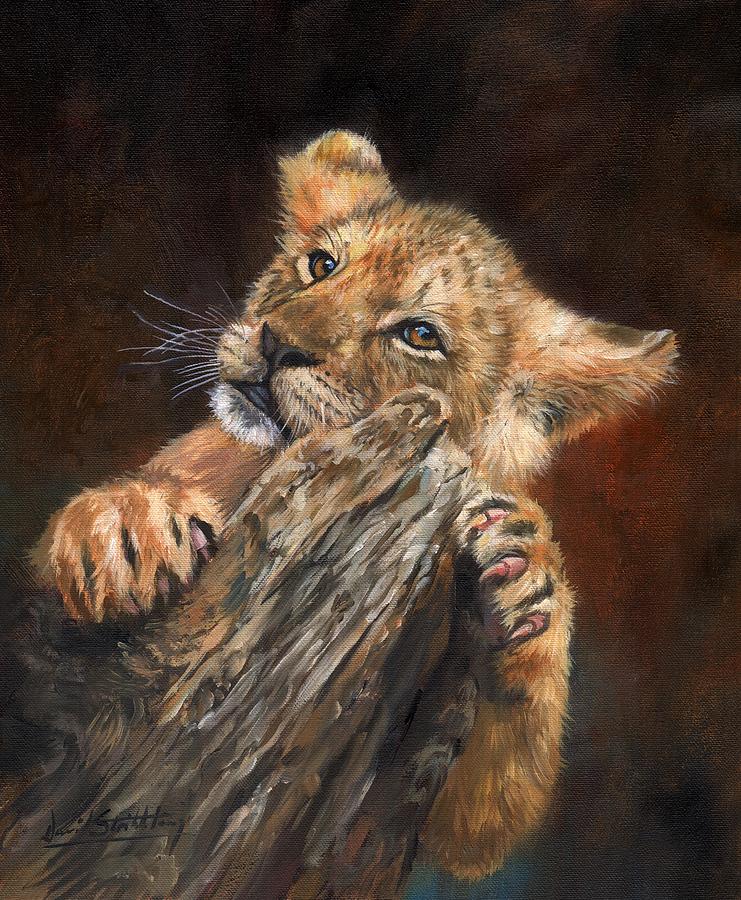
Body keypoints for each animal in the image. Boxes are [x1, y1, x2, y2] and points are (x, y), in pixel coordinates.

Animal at [32, 131, 676, 882]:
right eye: (321, 265)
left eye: (419, 335)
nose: (275, 341)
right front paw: (125, 531)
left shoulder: (445, 808)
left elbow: (484, 814)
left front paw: (523, 576)